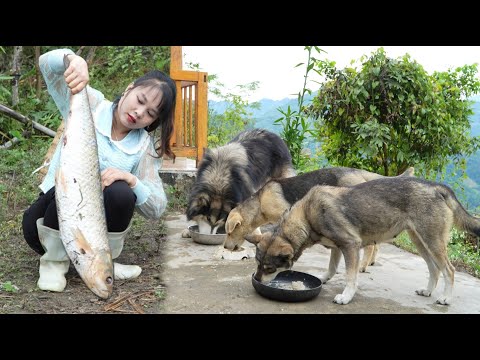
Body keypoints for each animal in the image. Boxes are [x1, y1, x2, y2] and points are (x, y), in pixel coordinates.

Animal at [246, 176, 480, 304]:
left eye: (269, 268)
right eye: (257, 264)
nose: (256, 279)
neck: (308, 215)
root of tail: (436, 186)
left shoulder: (351, 246)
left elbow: (351, 277)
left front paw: (346, 296)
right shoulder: (337, 247)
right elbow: (332, 267)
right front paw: (324, 278)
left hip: (432, 242)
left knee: (449, 270)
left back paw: (446, 298)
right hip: (420, 242)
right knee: (434, 268)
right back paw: (428, 290)